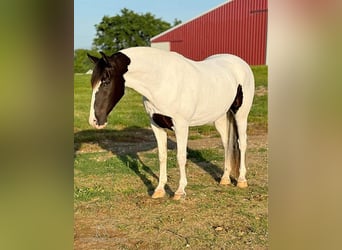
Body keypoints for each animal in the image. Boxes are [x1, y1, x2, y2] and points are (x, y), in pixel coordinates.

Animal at [87, 46, 255, 199]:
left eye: (106, 81)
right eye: (92, 82)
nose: (94, 121)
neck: (161, 81)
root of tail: (240, 63)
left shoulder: (181, 126)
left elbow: (181, 157)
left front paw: (180, 191)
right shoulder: (156, 126)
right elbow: (162, 156)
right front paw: (159, 190)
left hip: (241, 115)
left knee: (242, 143)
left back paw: (241, 180)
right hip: (219, 118)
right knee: (227, 144)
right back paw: (225, 178)